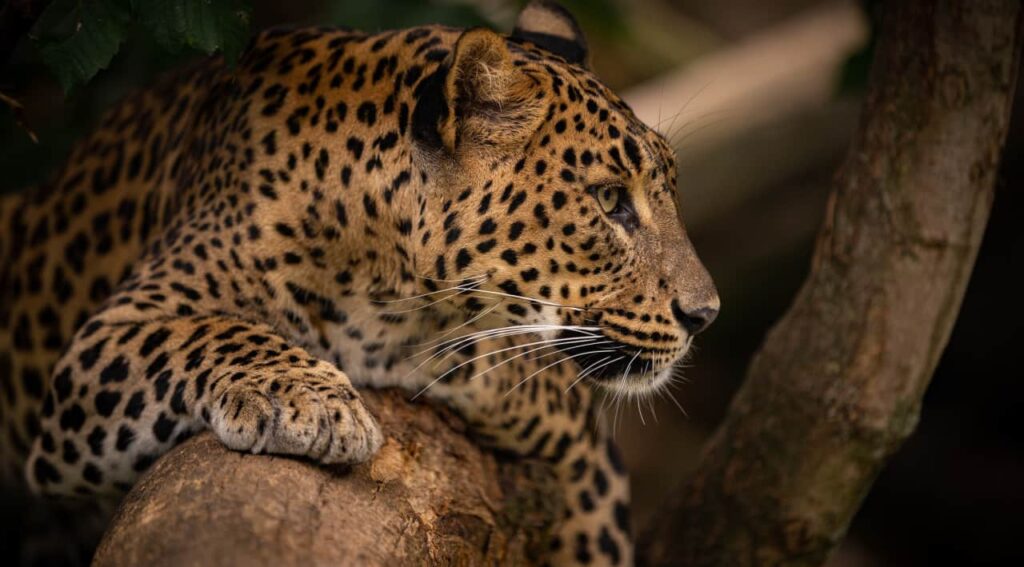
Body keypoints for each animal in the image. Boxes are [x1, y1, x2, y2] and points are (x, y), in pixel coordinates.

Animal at [2, 2, 720, 560]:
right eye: (610, 200)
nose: (704, 314)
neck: (380, 270)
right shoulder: (107, 338)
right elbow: (210, 331)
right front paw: (314, 404)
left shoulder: (585, 455)